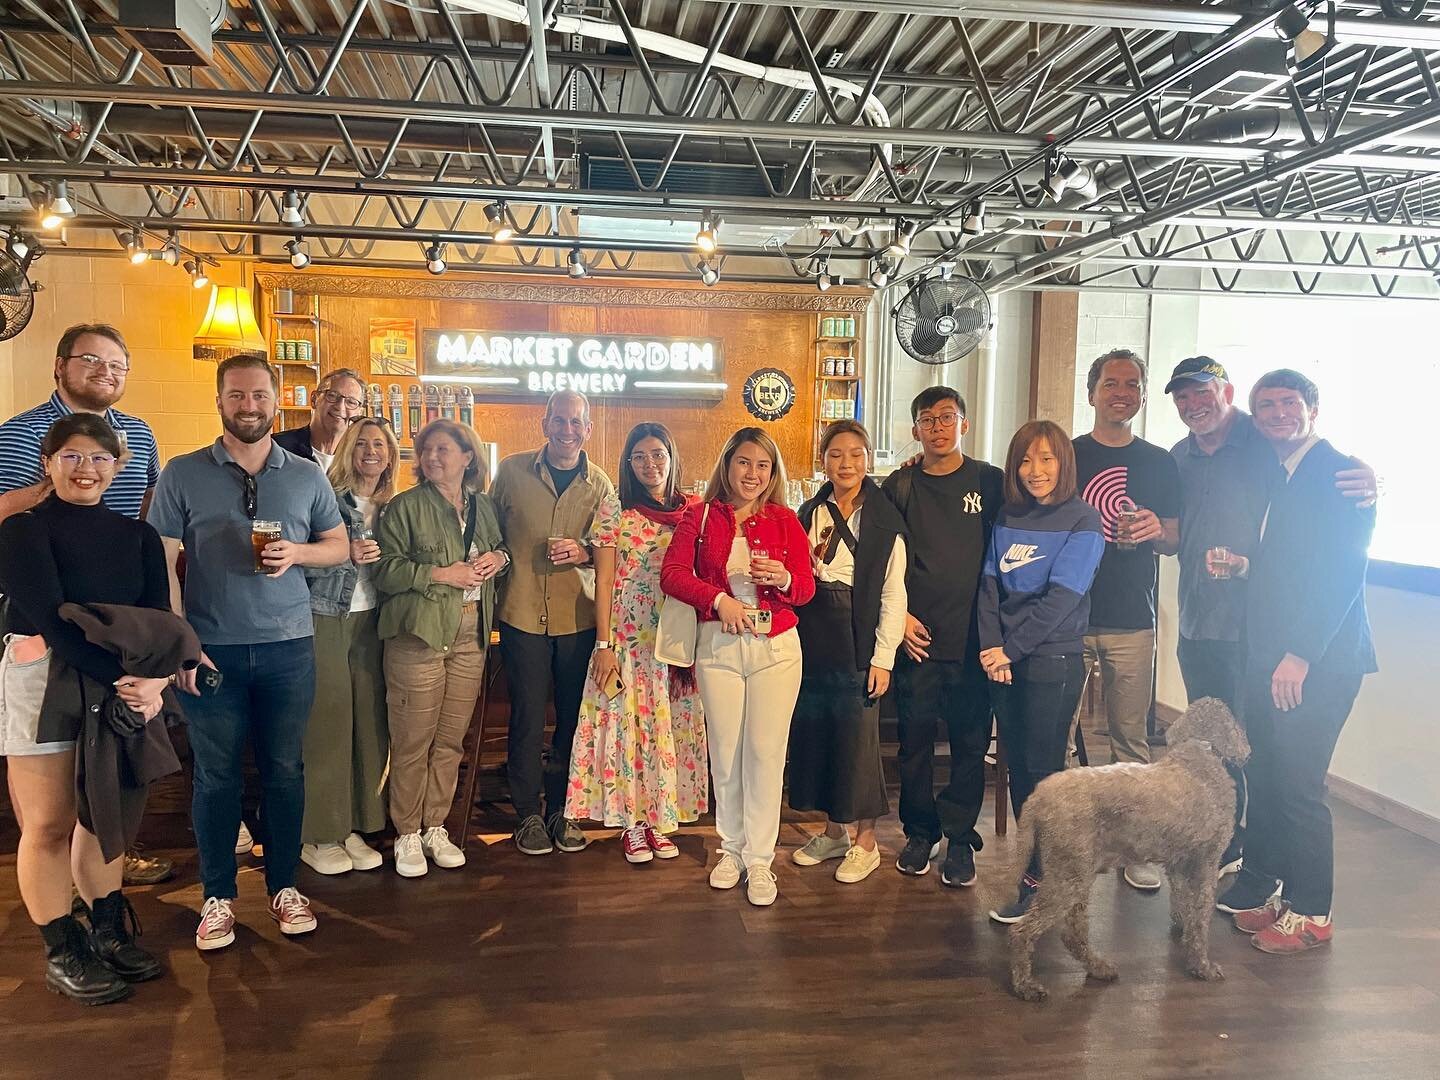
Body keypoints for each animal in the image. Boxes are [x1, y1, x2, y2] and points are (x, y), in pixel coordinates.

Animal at [1002, 696, 1249, 1002]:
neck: (1199, 752)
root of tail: (1037, 796)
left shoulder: (1179, 865)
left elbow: (1184, 904)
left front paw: (1182, 926)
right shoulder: (1206, 863)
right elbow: (1202, 917)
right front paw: (1202, 965)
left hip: (1075, 872)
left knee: (1073, 934)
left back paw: (1098, 967)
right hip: (1068, 876)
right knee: (1022, 932)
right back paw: (1025, 985)